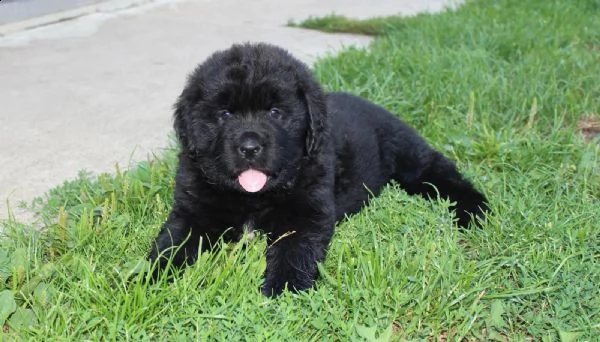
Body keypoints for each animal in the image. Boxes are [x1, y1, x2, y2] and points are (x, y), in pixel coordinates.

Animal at [149, 42, 488, 296]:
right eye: (225, 114)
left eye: (275, 112)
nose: (249, 147)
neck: (253, 198)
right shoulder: (192, 211)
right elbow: (171, 244)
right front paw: (147, 278)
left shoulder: (306, 211)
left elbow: (294, 250)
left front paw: (284, 288)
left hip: (409, 153)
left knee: (439, 173)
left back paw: (474, 210)